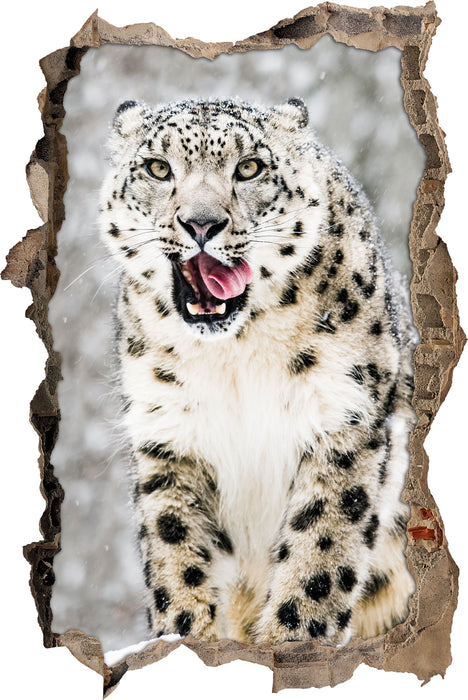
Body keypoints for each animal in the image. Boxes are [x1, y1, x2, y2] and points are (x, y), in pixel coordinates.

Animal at [99, 97, 417, 647]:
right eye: (158, 168)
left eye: (249, 168)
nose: (201, 224)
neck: (235, 357)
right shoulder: (170, 434)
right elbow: (177, 551)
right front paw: (185, 636)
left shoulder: (343, 418)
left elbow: (320, 547)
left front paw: (293, 638)